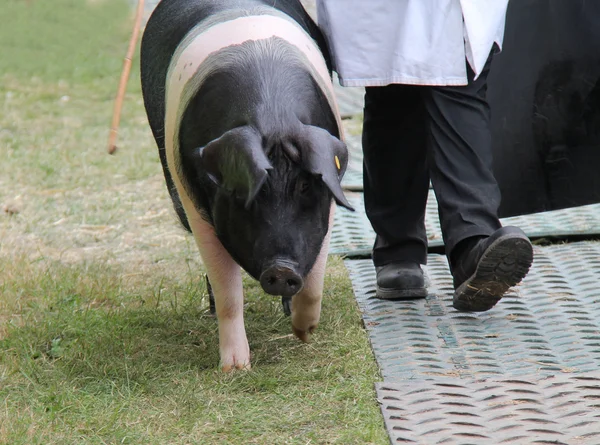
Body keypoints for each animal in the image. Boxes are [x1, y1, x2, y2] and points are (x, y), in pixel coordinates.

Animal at [139, 0, 352, 370]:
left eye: (305, 187)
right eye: (253, 192)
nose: (281, 269)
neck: (273, 117)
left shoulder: (325, 204)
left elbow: (315, 277)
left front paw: (304, 333)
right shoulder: (195, 203)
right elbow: (228, 289)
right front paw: (235, 368)